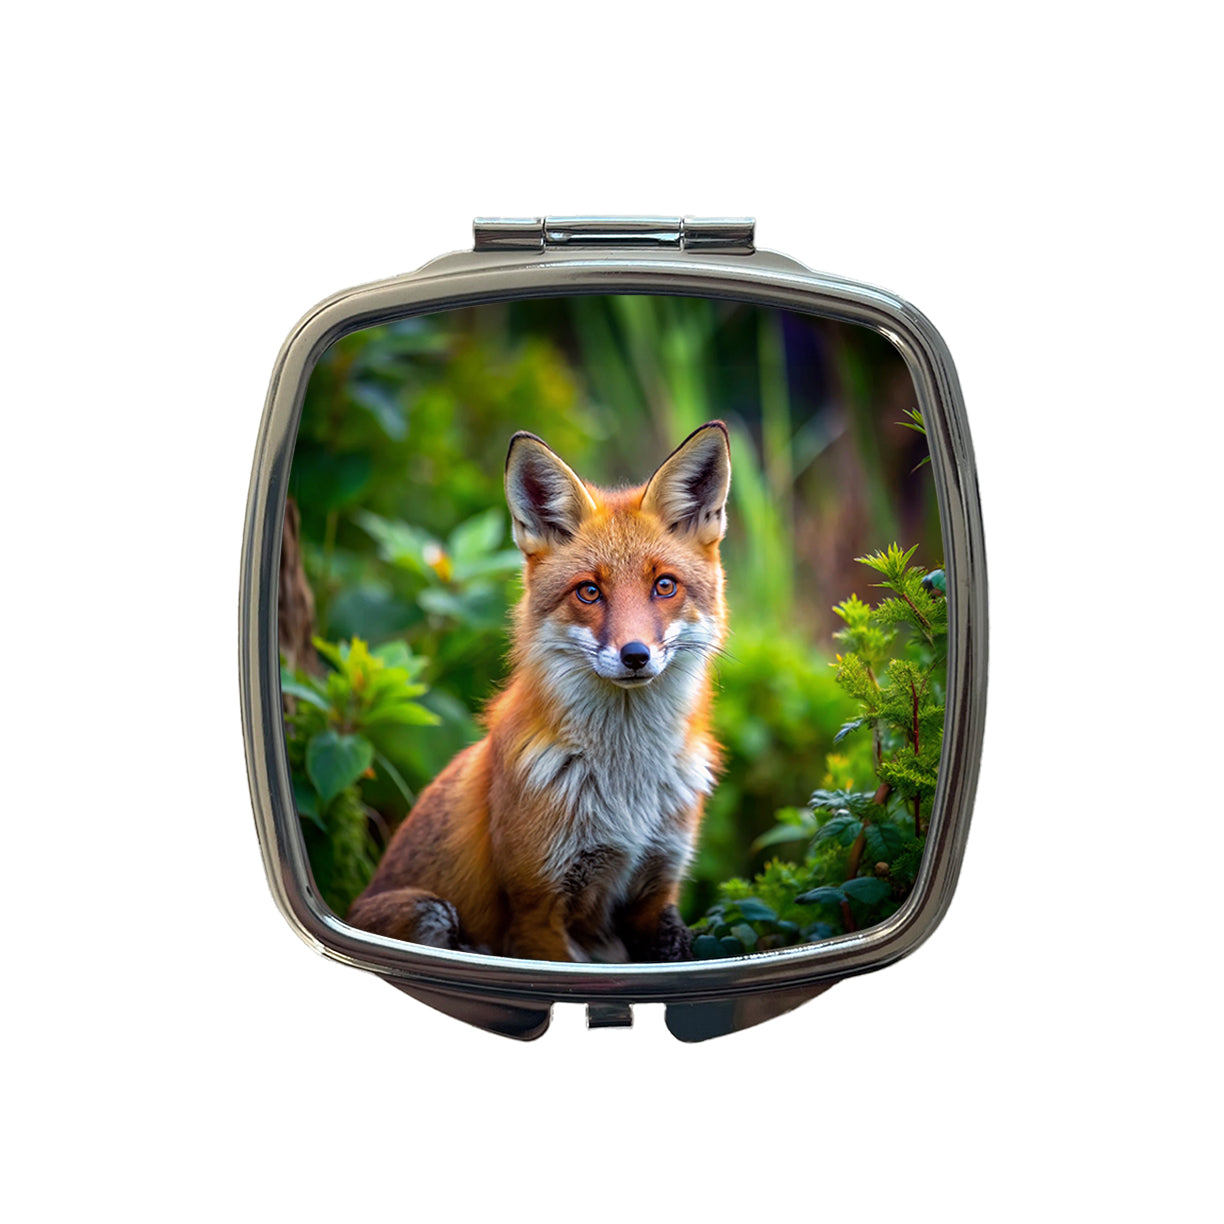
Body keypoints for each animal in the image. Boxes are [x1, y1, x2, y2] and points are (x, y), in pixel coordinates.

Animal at [347, 421, 732, 963]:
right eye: (589, 591)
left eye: (664, 586)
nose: (635, 655)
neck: (627, 792)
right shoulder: (537, 910)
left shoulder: (657, 894)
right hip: (430, 911)